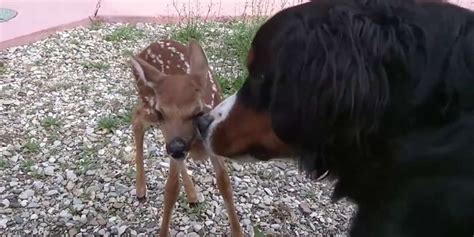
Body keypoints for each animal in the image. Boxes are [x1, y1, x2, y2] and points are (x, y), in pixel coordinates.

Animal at [130, 39, 243, 236]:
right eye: (161, 112)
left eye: (197, 112)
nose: (177, 147)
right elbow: (171, 189)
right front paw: (163, 233)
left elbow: (224, 183)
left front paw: (238, 232)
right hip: (149, 106)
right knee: (137, 118)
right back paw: (141, 188)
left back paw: (192, 194)